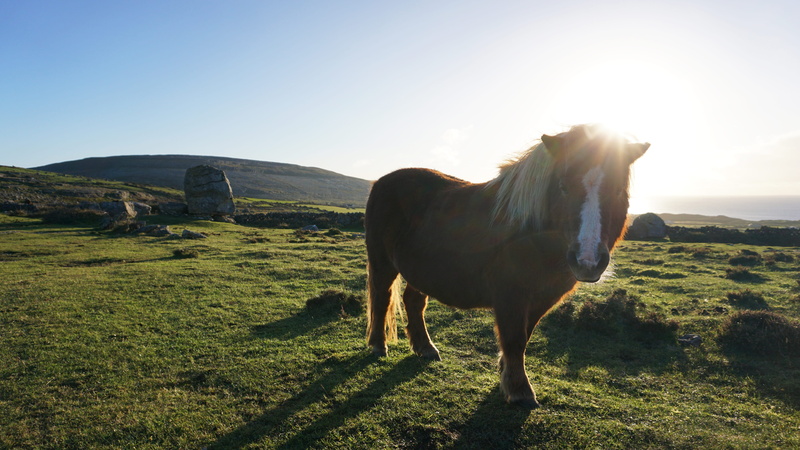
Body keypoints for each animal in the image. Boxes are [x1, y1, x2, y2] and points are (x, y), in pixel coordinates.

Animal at [364, 124, 649, 408]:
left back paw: (425, 348)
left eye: (618, 190)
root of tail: (382, 181)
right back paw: (379, 345)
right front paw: (519, 390)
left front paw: (506, 373)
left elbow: (525, 335)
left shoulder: (543, 297)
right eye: (563, 186)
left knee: (414, 301)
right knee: (382, 298)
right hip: (382, 264)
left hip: (421, 270)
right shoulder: (510, 295)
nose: (587, 261)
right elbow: (514, 339)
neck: (531, 234)